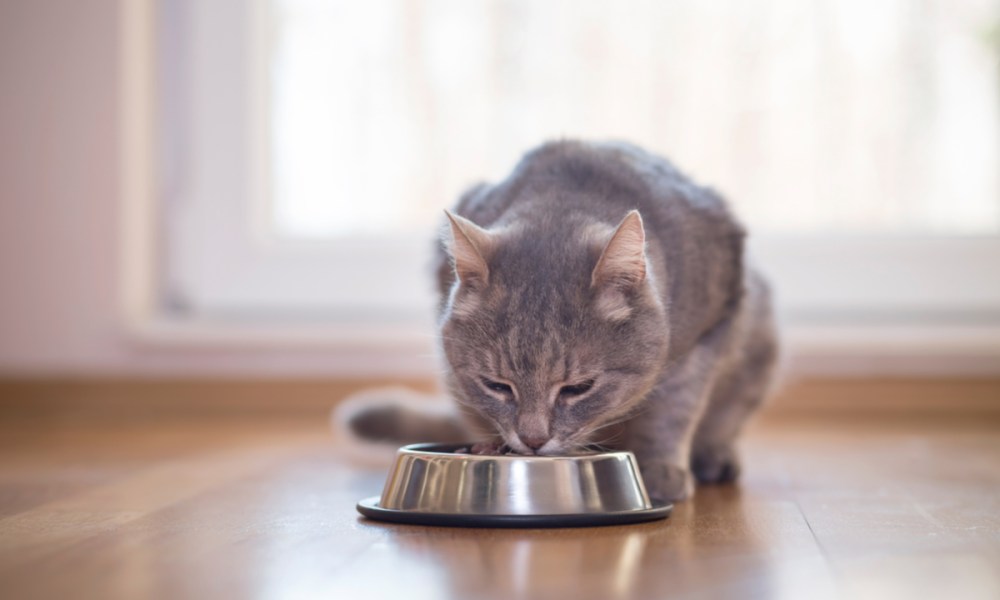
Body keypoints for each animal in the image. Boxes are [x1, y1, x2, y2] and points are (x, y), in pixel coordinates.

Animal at [348, 141, 776, 502]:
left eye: (578, 388)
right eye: (496, 385)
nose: (533, 440)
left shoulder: (709, 331)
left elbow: (675, 407)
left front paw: (660, 468)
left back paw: (714, 457)